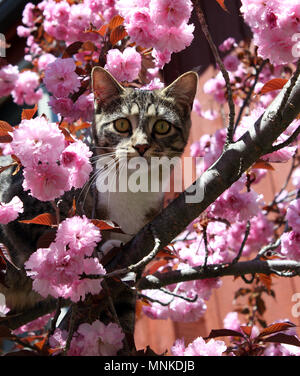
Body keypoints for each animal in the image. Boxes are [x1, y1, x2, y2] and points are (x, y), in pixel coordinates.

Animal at [0, 67, 198, 332]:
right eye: (122, 124)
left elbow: (121, 318)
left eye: (162, 126)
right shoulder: (21, 203)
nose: (141, 146)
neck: (132, 188)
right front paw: (93, 253)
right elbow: (48, 242)